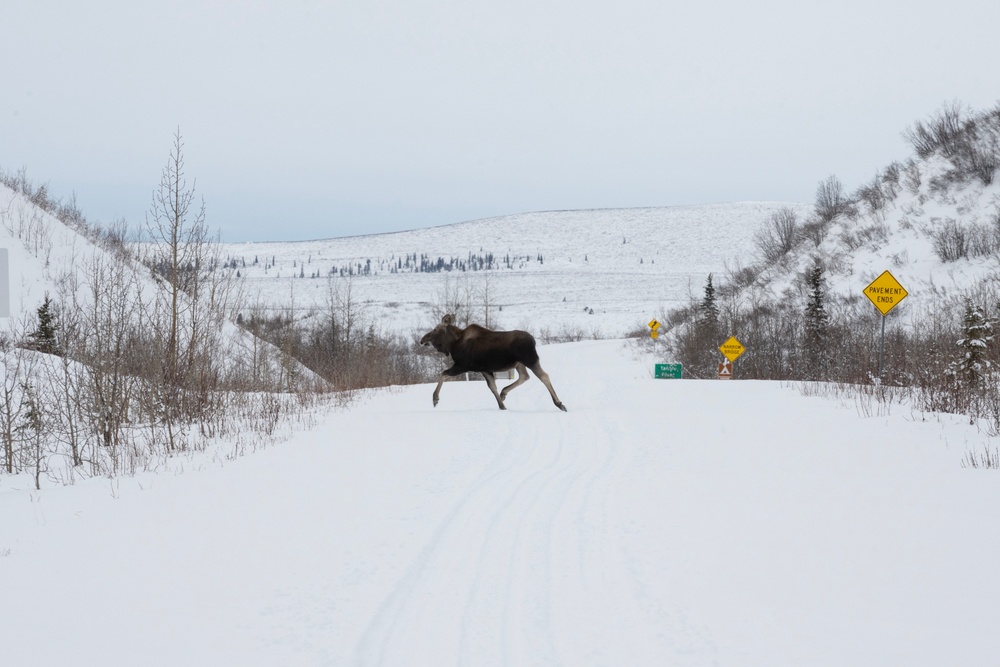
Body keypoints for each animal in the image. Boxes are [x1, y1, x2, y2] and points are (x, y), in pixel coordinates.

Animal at [418, 314, 568, 412]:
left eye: (435, 329)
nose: (422, 339)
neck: (452, 344)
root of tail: (533, 340)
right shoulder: (484, 369)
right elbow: (492, 387)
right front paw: (502, 406)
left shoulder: (463, 365)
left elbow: (443, 374)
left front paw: (435, 399)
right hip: (519, 363)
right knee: (525, 376)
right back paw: (504, 393)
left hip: (530, 359)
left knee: (544, 376)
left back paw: (559, 403)